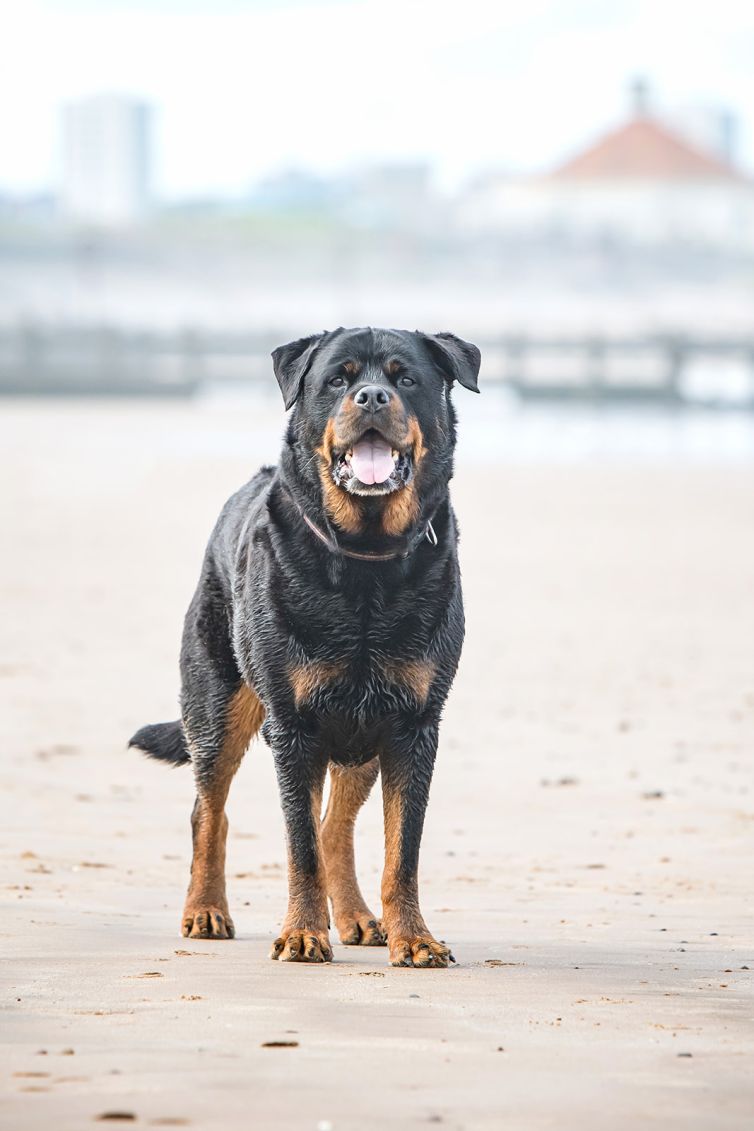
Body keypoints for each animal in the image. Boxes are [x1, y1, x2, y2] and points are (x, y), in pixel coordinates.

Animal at [130, 325, 481, 963]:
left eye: (406, 378)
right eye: (338, 380)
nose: (372, 397)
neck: (366, 561)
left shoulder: (414, 724)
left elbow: (402, 849)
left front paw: (414, 937)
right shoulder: (293, 725)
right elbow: (298, 845)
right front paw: (300, 933)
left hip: (362, 735)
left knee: (334, 826)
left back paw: (361, 918)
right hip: (218, 705)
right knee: (209, 810)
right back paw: (206, 909)